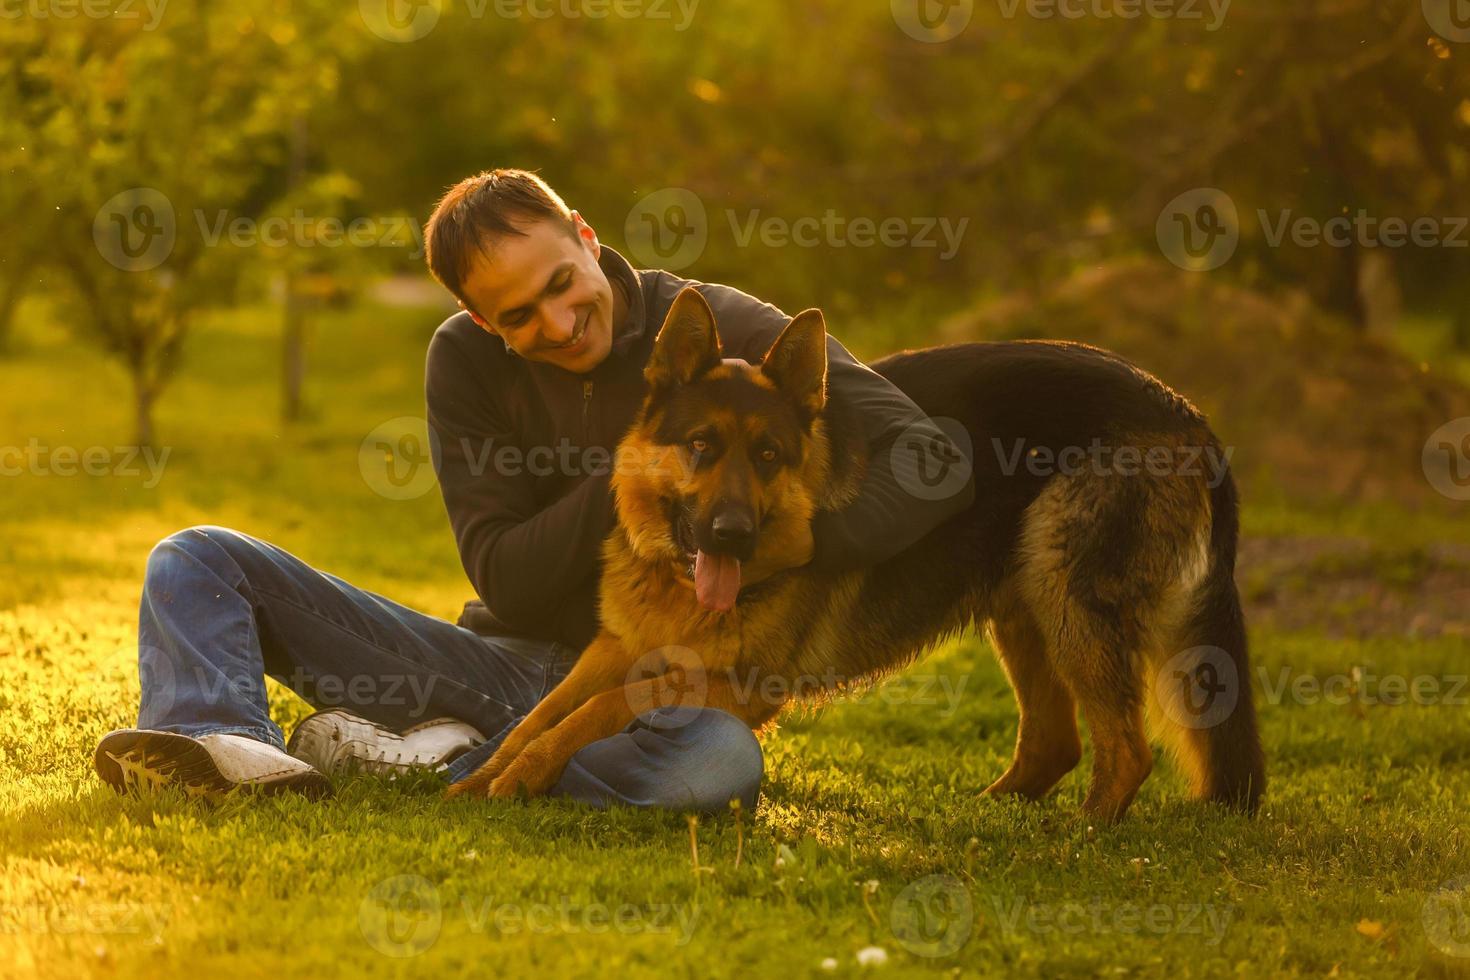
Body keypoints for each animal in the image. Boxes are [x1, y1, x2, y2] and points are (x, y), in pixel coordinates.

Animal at [446, 287, 1264, 822]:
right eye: (701, 446)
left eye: (769, 456)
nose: (733, 535)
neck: (678, 579)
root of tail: (1189, 415)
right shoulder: (614, 648)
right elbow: (542, 712)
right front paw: (486, 771)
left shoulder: (736, 686)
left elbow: (596, 711)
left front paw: (520, 777)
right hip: (1027, 598)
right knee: (1054, 744)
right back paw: (994, 819)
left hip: (1064, 591)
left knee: (1125, 750)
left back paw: (1079, 835)